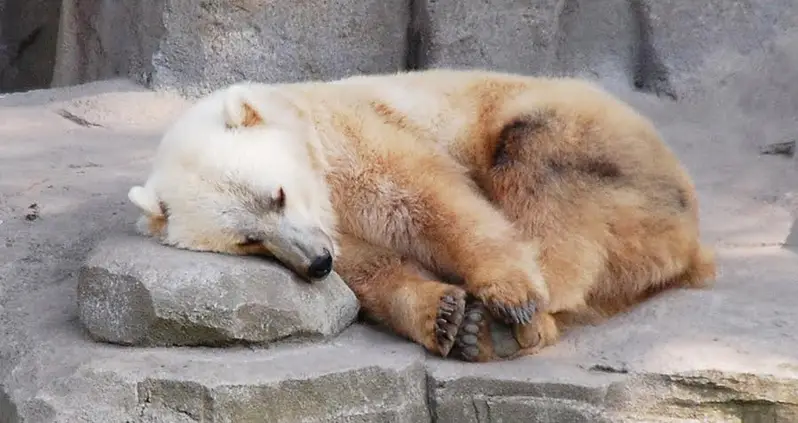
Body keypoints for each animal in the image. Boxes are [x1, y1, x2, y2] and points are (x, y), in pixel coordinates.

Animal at [127, 68, 716, 362]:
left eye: (278, 194)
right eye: (249, 240)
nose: (316, 263)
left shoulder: (355, 135)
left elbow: (422, 199)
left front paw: (507, 295)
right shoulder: (334, 228)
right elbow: (370, 268)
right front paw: (445, 315)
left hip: (597, 146)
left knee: (542, 171)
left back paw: (516, 319)